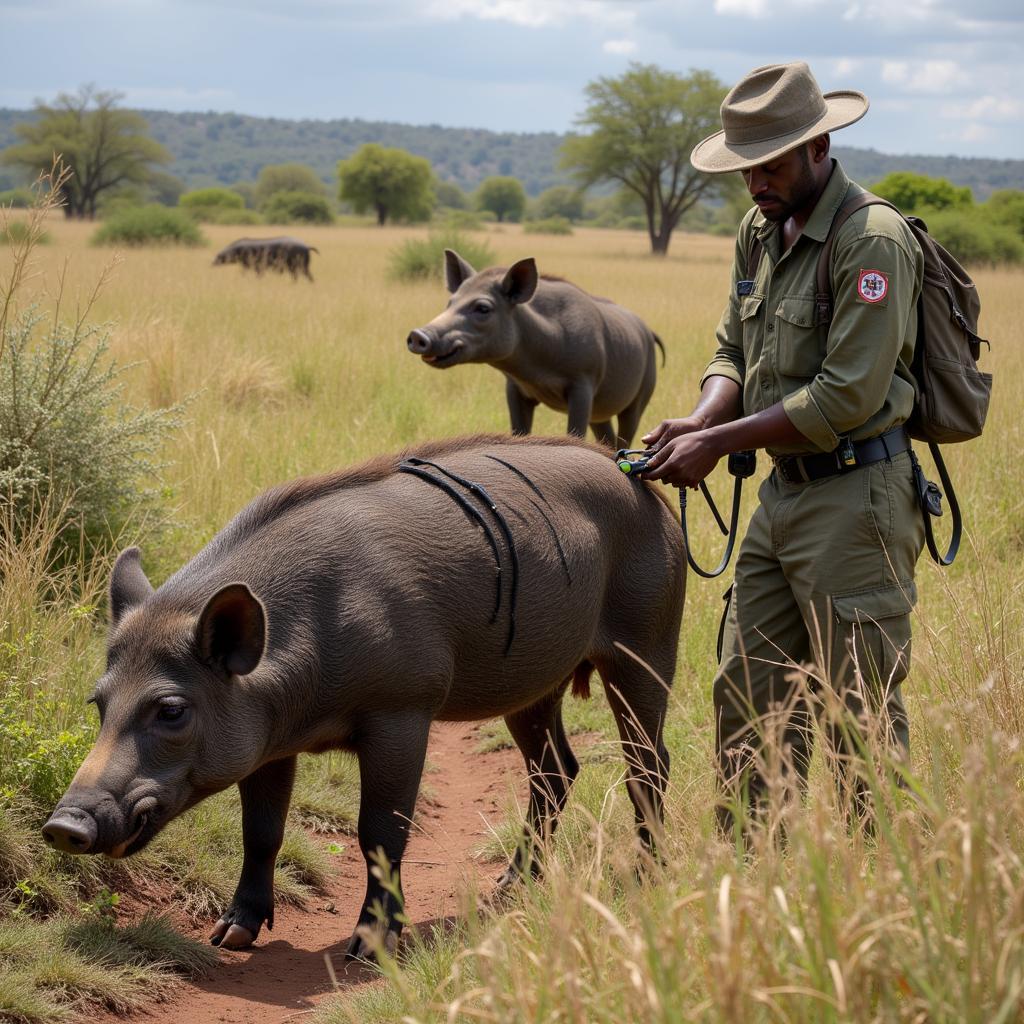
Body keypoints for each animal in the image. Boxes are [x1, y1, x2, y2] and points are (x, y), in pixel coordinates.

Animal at [41, 434, 679, 958]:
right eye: (99, 703)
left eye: (171, 710)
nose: (63, 826)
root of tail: (649, 488)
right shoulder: (267, 743)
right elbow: (262, 830)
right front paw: (231, 935)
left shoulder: (404, 709)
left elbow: (380, 831)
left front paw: (368, 950)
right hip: (535, 684)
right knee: (555, 770)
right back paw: (506, 890)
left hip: (648, 640)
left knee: (648, 762)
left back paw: (646, 876)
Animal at [407, 249, 663, 446]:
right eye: (450, 303)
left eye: (483, 308)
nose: (418, 335)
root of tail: (648, 333)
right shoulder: (515, 390)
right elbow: (518, 433)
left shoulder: (582, 388)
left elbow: (576, 435)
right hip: (600, 414)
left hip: (637, 402)